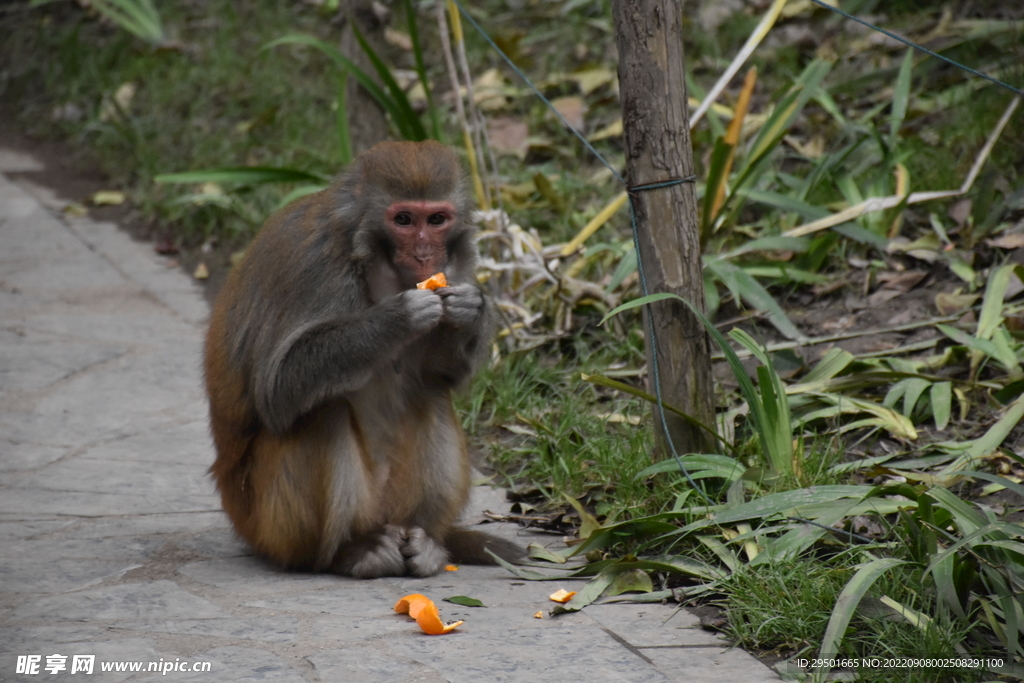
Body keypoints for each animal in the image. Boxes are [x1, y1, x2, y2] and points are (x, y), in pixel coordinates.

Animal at [201, 140, 520, 577]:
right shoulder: (315, 265)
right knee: (321, 409)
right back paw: (346, 553)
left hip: (393, 505)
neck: (369, 254)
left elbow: (442, 373)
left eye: (437, 219)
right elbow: (276, 389)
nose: (425, 253)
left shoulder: (455, 267)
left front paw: (470, 309)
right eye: (403, 220)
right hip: (270, 525)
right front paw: (397, 317)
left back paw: (428, 541)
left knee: (431, 392)